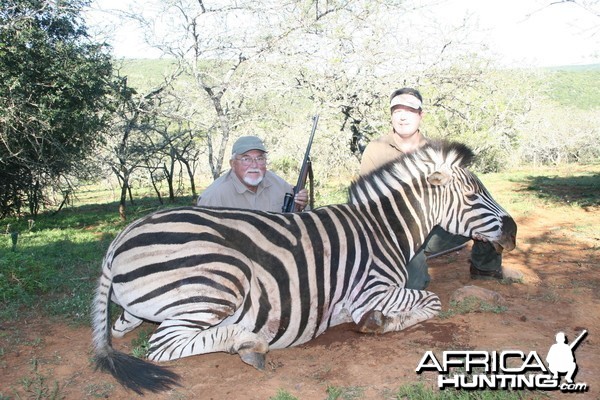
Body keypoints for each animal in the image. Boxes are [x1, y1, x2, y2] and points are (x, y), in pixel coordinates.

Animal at [92, 141, 516, 394]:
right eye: (474, 195)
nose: (512, 231)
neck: (383, 229)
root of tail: (120, 238)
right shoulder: (373, 291)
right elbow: (431, 302)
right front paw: (379, 323)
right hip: (219, 281)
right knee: (163, 345)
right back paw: (247, 342)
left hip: (139, 307)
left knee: (122, 328)